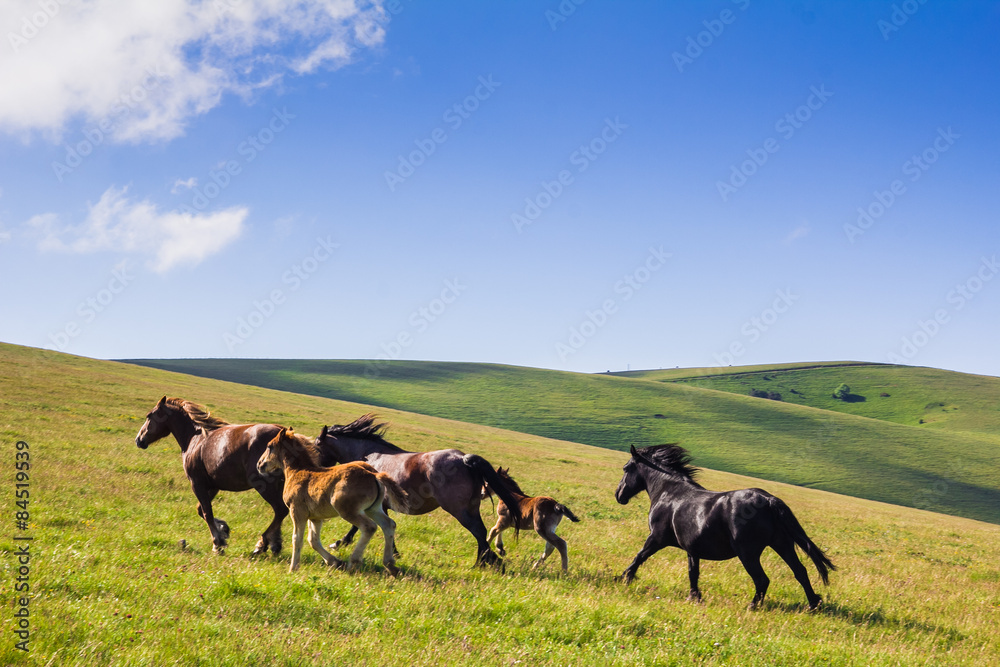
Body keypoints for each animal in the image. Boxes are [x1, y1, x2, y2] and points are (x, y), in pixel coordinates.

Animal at [134, 396, 337, 555]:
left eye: (149, 416)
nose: (139, 440)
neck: (195, 439)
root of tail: (285, 434)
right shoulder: (212, 486)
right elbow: (201, 510)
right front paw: (224, 530)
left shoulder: (197, 483)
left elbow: (206, 512)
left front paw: (218, 543)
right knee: (281, 512)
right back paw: (274, 544)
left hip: (265, 485)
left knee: (280, 509)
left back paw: (261, 544)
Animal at [257, 428, 407, 575]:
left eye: (269, 446)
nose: (259, 465)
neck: (298, 471)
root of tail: (373, 474)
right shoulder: (315, 518)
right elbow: (313, 540)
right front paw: (335, 562)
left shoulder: (297, 512)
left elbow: (297, 539)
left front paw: (293, 568)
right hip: (373, 509)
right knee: (388, 524)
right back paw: (390, 565)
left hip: (347, 510)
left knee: (369, 527)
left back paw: (354, 561)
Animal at [316, 414, 522, 567]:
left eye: (316, 444)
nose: (317, 470)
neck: (370, 456)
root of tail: (464, 459)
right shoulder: (381, 506)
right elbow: (384, 527)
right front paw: (395, 553)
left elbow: (358, 526)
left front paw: (338, 543)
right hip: (471, 508)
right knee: (482, 531)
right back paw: (488, 561)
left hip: (459, 510)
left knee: (478, 531)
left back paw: (482, 563)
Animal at [616, 444, 835, 610]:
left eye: (626, 468)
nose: (619, 495)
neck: (669, 493)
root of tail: (769, 500)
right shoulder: (692, 549)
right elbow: (693, 572)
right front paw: (694, 597)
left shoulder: (657, 538)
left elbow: (639, 556)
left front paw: (624, 578)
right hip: (782, 544)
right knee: (800, 571)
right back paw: (813, 604)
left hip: (748, 553)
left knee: (762, 579)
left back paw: (752, 606)